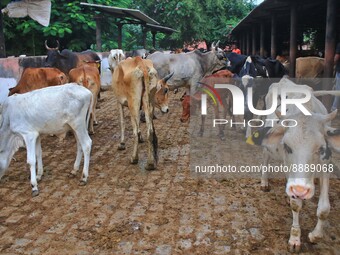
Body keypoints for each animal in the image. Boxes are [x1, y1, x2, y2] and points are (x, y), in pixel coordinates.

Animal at [246, 78, 340, 253]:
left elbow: (324, 209)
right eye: (287, 146)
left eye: (321, 148)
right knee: (266, 156)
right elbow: (296, 205)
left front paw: (315, 235)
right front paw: (295, 238)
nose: (300, 190)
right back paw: (265, 181)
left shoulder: (326, 164)